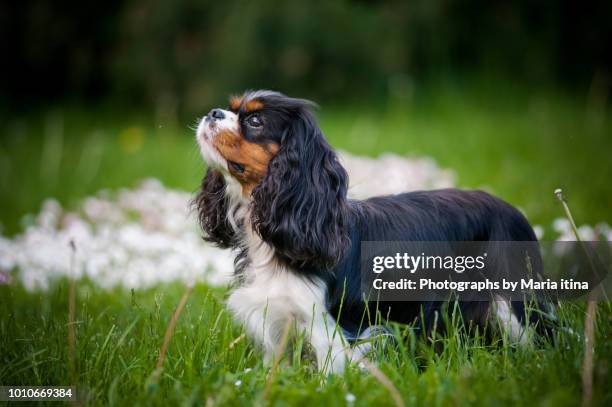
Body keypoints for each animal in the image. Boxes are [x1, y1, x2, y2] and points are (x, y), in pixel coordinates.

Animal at [194, 91, 552, 374]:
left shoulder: (329, 327)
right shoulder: (276, 318)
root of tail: (513, 209)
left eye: (254, 121)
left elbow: (330, 371)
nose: (212, 113)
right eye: (232, 109)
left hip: (512, 303)